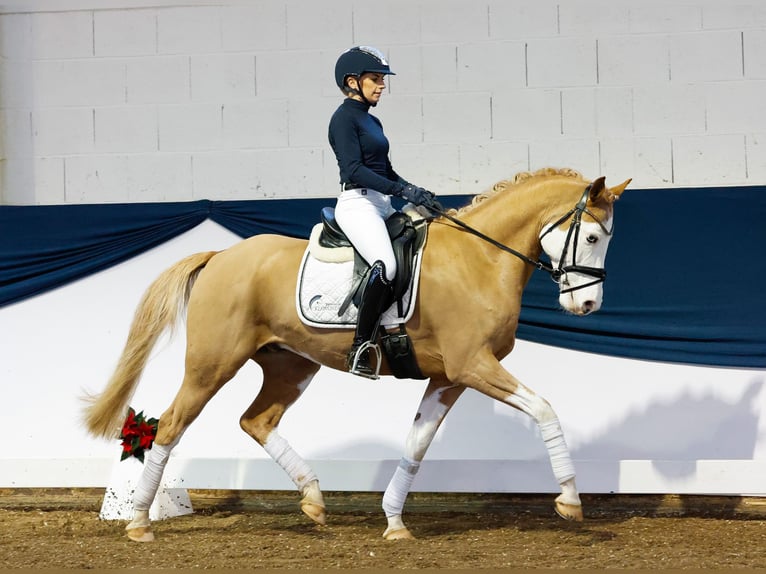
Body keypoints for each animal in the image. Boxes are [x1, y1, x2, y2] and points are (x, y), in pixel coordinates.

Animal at [82, 168, 632, 544]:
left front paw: (394, 523)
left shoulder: (449, 378)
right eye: (591, 236)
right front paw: (570, 500)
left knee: (257, 420)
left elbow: (416, 447)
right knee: (171, 424)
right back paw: (139, 522)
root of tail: (220, 257)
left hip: (291, 365)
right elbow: (545, 409)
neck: (479, 259)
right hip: (211, 364)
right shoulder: (473, 366)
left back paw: (313, 500)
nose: (586, 306)